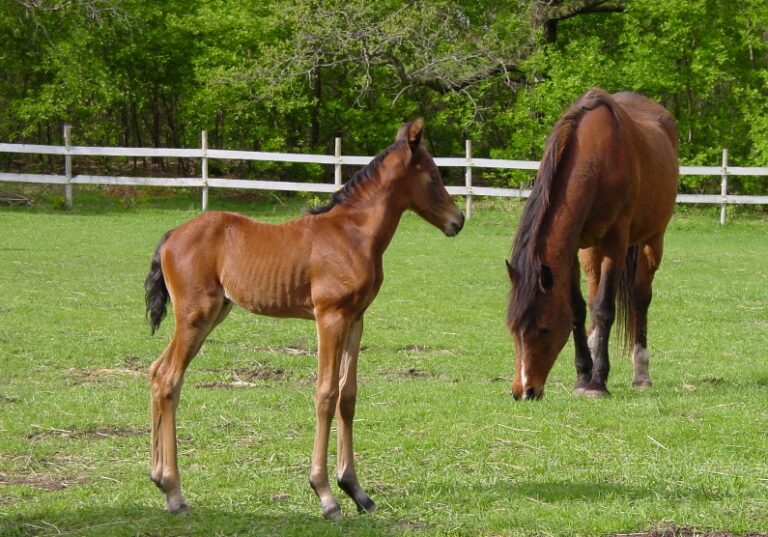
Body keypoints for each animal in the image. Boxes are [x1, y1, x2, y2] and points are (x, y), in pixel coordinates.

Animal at [146, 119, 464, 516]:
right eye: (433, 176)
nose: (458, 220)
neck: (353, 234)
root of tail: (171, 235)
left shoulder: (356, 319)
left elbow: (348, 395)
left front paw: (355, 490)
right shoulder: (330, 317)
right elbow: (326, 393)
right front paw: (325, 494)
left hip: (213, 314)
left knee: (157, 372)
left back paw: (159, 480)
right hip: (195, 315)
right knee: (169, 379)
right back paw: (175, 493)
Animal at [510, 88, 680, 398]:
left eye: (544, 329)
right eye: (513, 329)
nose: (524, 391)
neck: (596, 161)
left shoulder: (616, 243)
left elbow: (604, 309)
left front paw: (598, 381)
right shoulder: (573, 249)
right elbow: (578, 308)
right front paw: (583, 376)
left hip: (652, 239)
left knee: (639, 299)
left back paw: (641, 373)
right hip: (591, 250)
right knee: (592, 294)